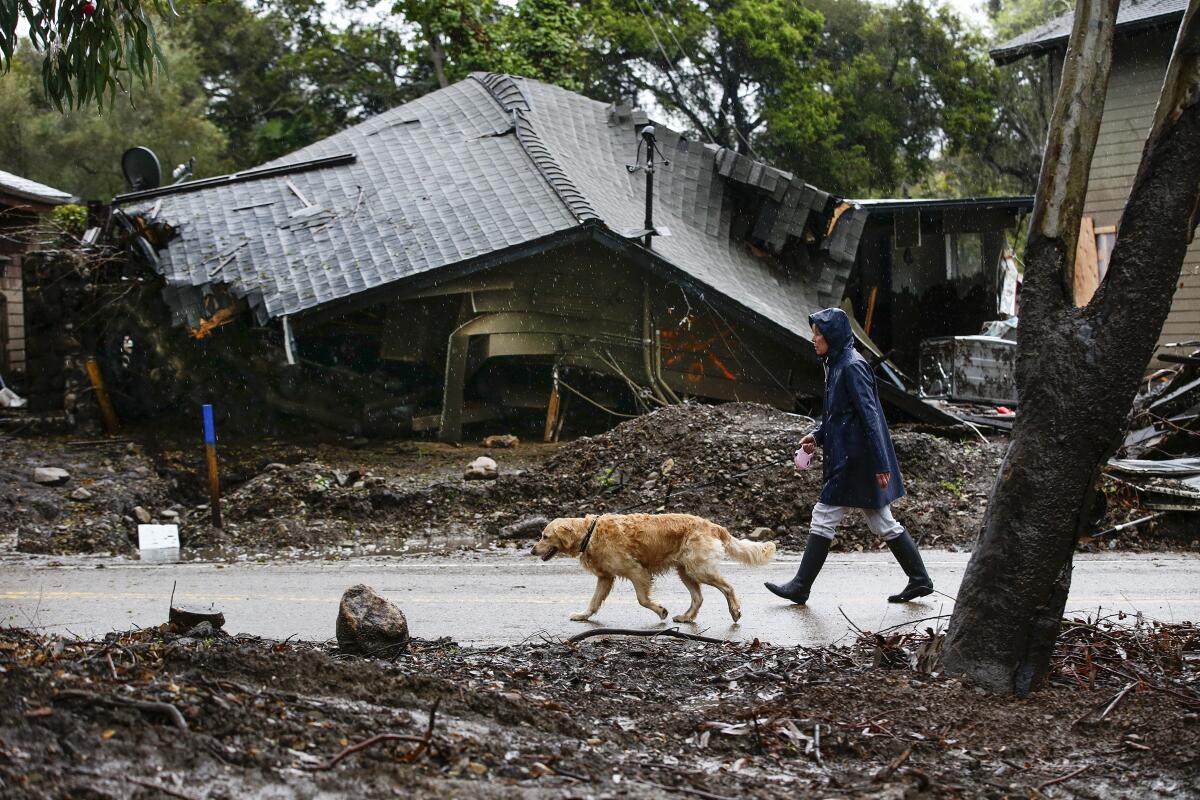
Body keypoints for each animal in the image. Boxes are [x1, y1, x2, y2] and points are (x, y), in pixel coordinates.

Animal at [530, 513, 772, 623]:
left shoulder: (636, 571)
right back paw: (686, 617)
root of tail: (711, 524)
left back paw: (735, 611)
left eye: (545, 536)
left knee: (728, 588)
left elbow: (642, 599)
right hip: (685, 570)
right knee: (698, 597)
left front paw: (660, 610)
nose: (532, 550)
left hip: (698, 569)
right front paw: (583, 616)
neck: (589, 533)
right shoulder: (605, 578)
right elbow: (594, 602)